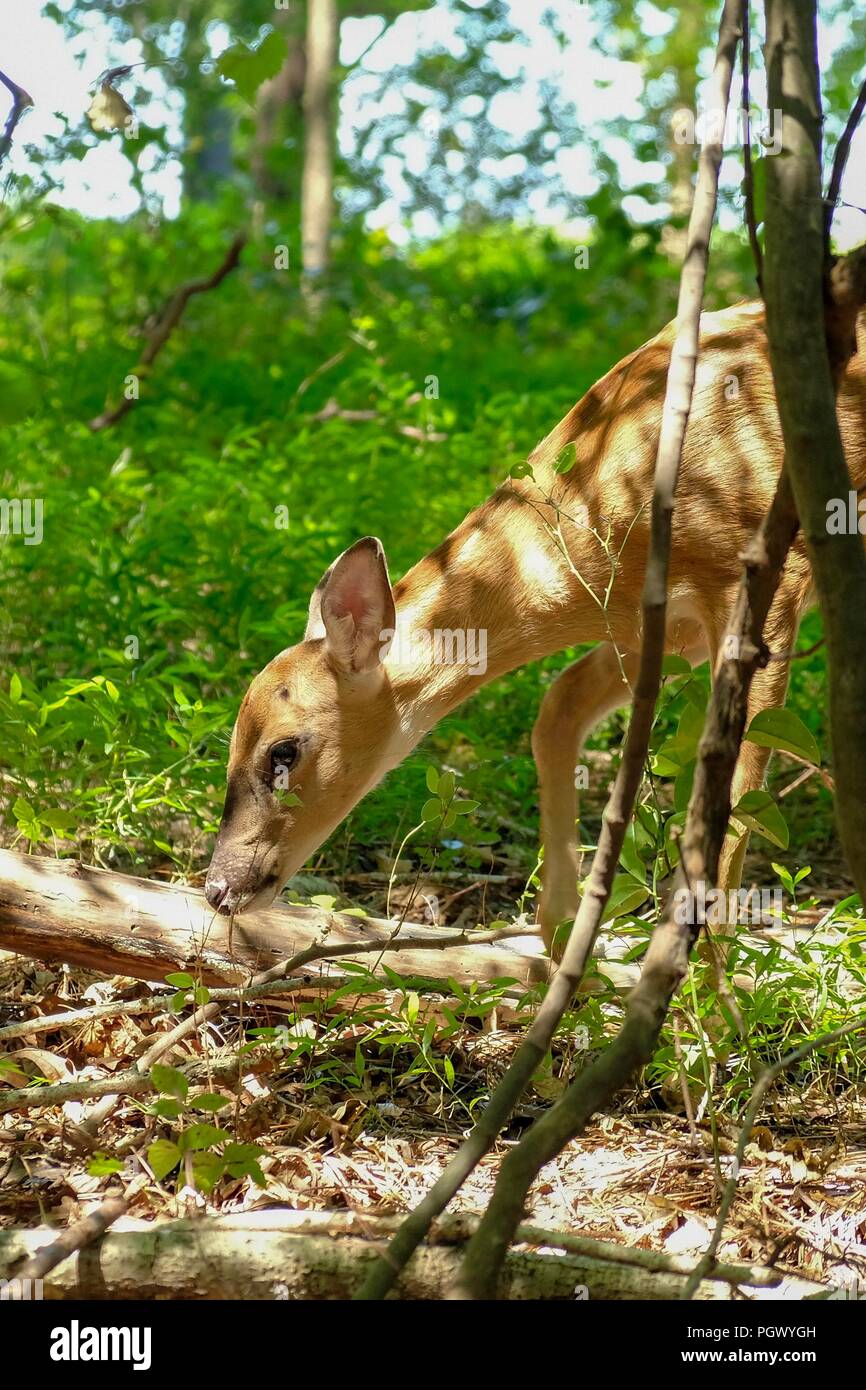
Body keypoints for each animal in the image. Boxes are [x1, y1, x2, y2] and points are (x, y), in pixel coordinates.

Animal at [204, 299, 866, 951]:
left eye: (283, 750)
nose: (216, 888)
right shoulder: (660, 626)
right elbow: (556, 709)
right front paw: (561, 937)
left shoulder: (766, 579)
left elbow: (738, 784)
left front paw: (709, 973)